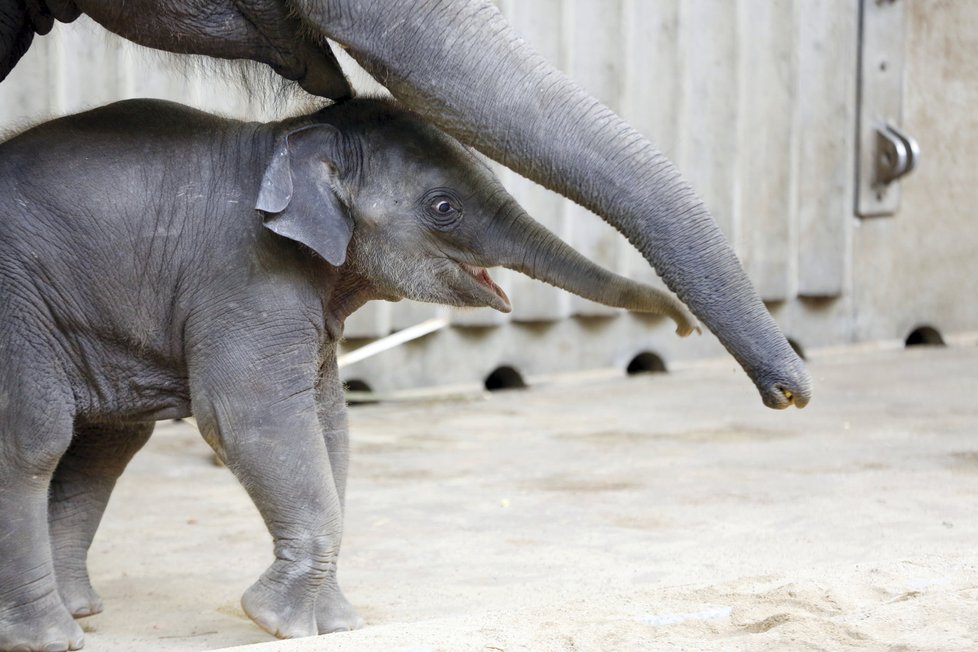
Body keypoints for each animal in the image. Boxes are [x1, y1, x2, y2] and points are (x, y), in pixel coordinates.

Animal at [0, 97, 692, 652]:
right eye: (443, 207)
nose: (685, 328)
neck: (285, 137)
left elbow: (331, 426)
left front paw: (333, 626)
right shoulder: (245, 278)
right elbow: (251, 419)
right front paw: (276, 623)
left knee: (105, 448)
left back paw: (79, 612)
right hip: (19, 307)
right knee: (35, 440)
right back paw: (52, 637)